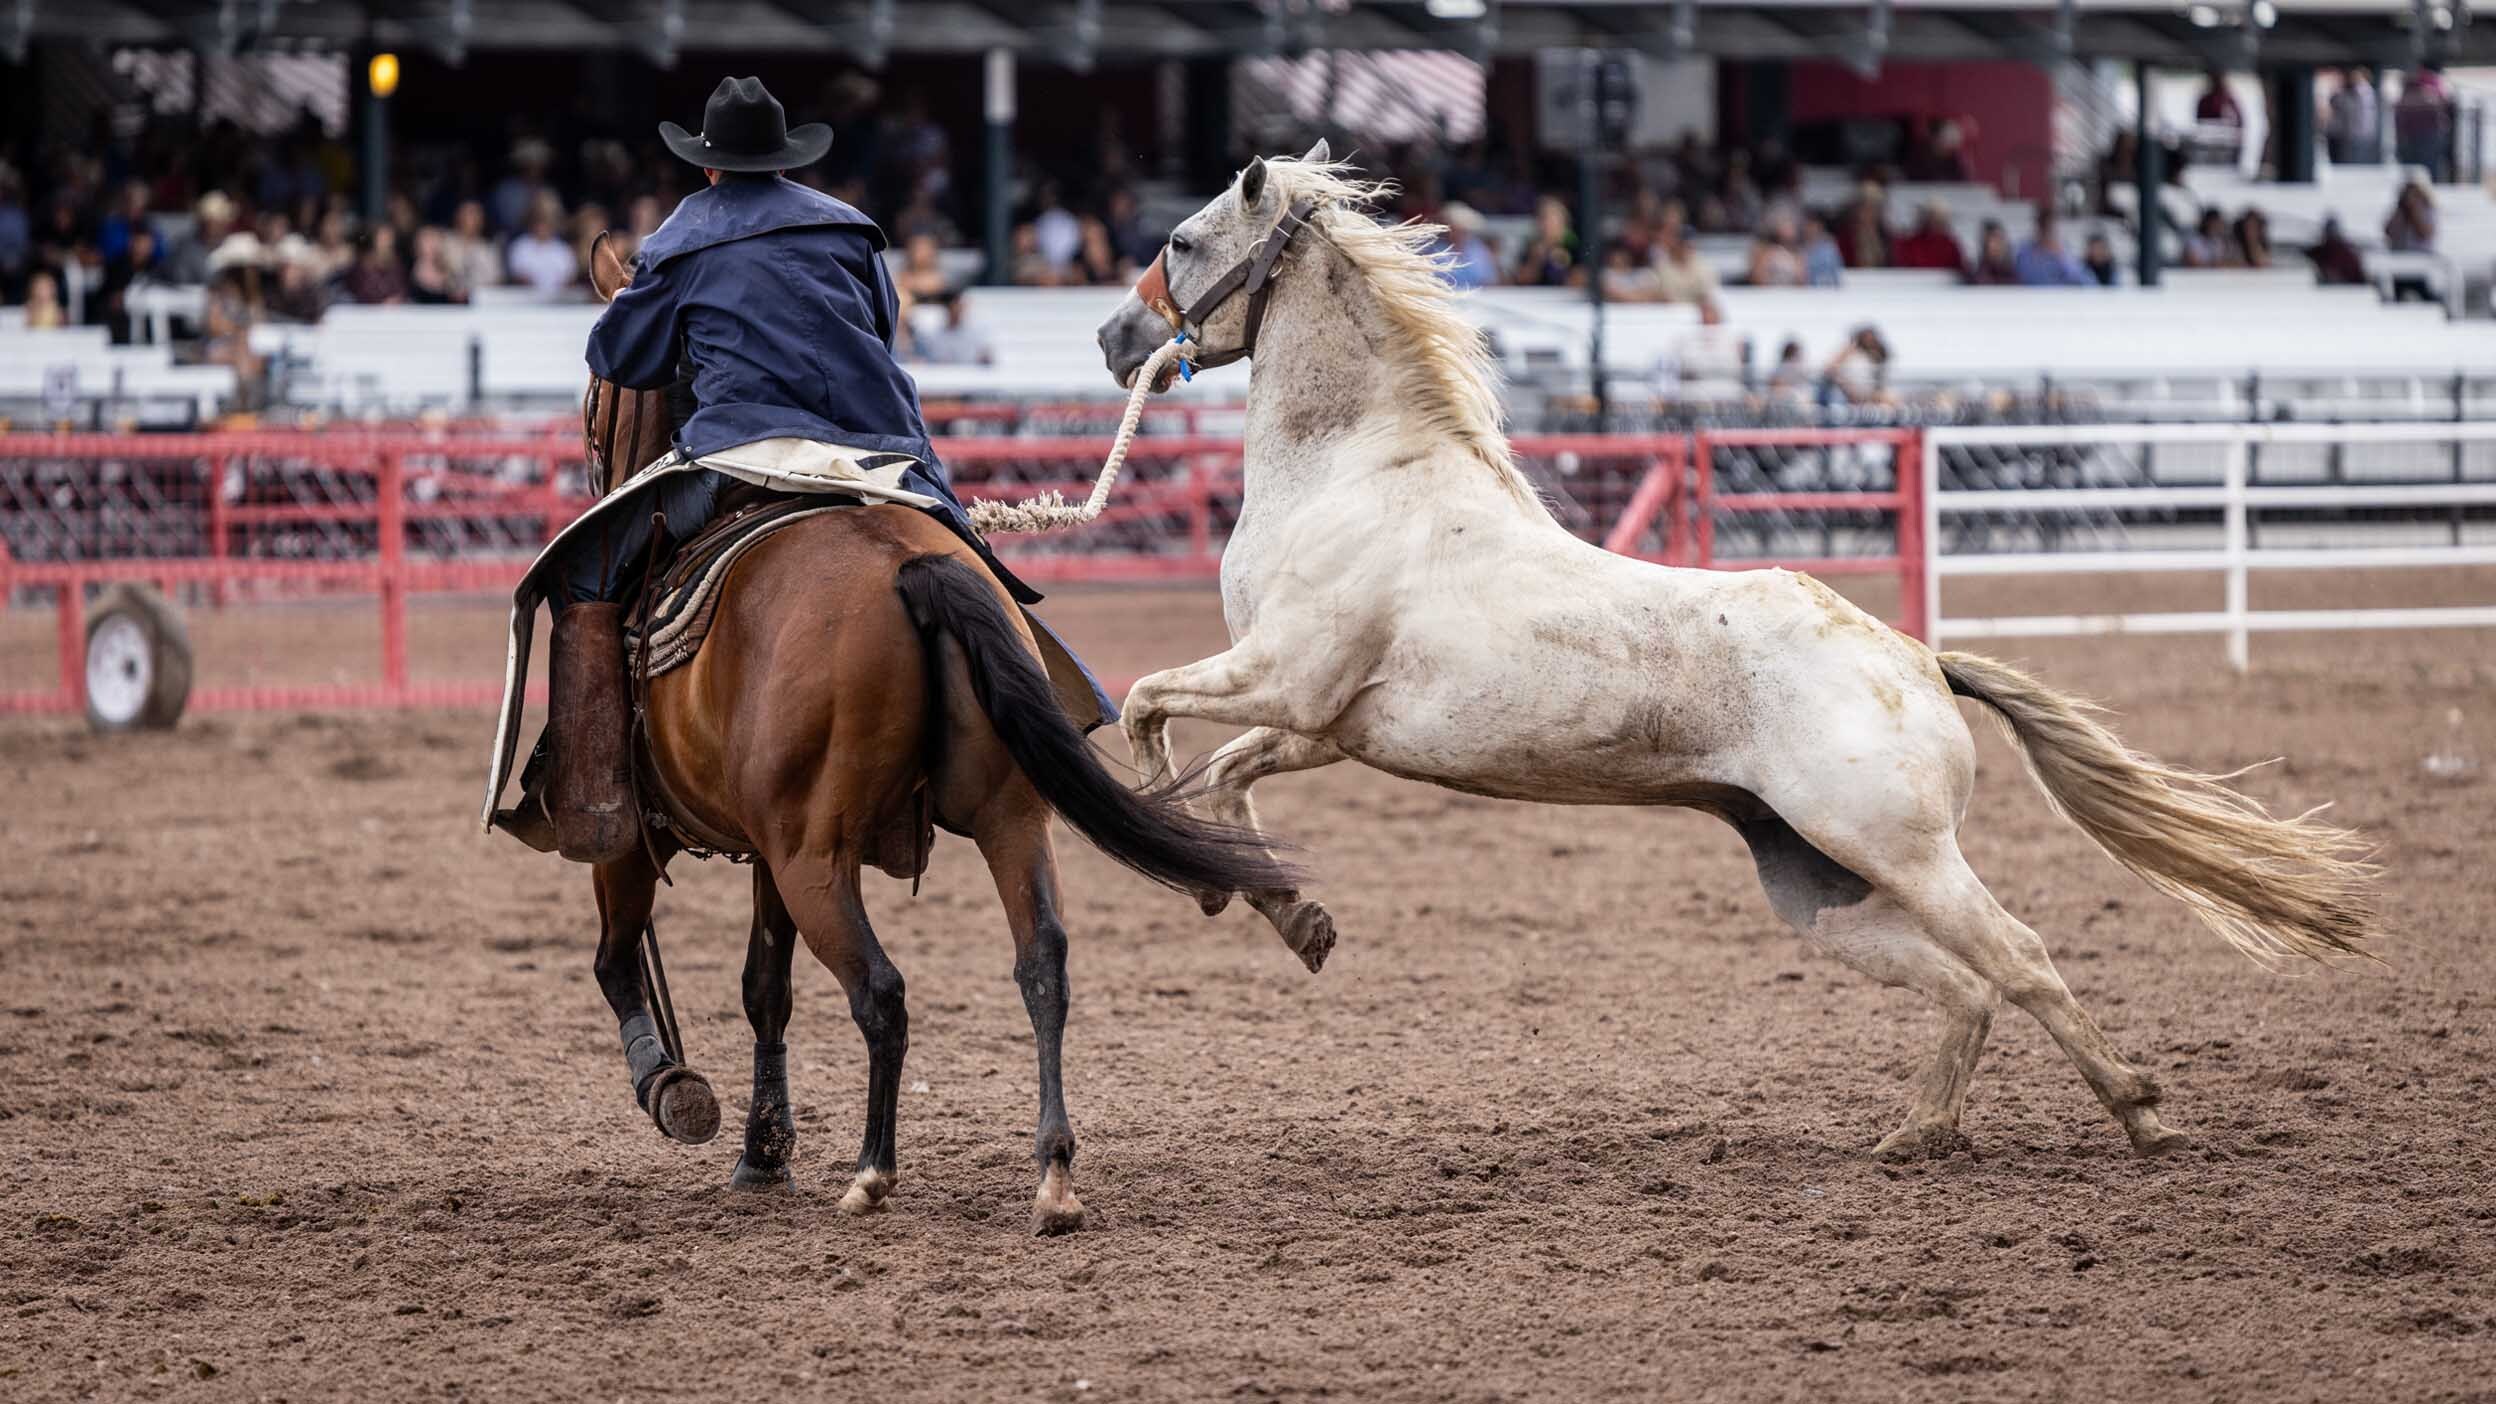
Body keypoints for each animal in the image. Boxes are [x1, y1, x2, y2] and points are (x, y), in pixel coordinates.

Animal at [569, 237, 1287, 1224]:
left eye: (594, 398)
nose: (597, 465)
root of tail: (908, 566)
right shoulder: (760, 852)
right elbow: (764, 988)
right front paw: (762, 1152)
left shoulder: (643, 833)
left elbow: (622, 960)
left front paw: (676, 1092)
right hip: (1003, 818)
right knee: (1042, 962)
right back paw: (1053, 1173)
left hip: (816, 857)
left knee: (881, 991)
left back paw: (874, 1170)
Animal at [1093, 150, 2376, 1159]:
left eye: (1183, 238)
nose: (1112, 335)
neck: (1359, 475)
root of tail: (1920, 660)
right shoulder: (1327, 724)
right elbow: (1229, 775)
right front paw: (1289, 915)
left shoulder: (1288, 678)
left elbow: (1148, 710)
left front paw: (1179, 852)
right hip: (1819, 889)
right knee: (1967, 985)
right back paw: (1917, 1134)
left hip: (1897, 852)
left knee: (2018, 957)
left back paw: (2141, 1112)